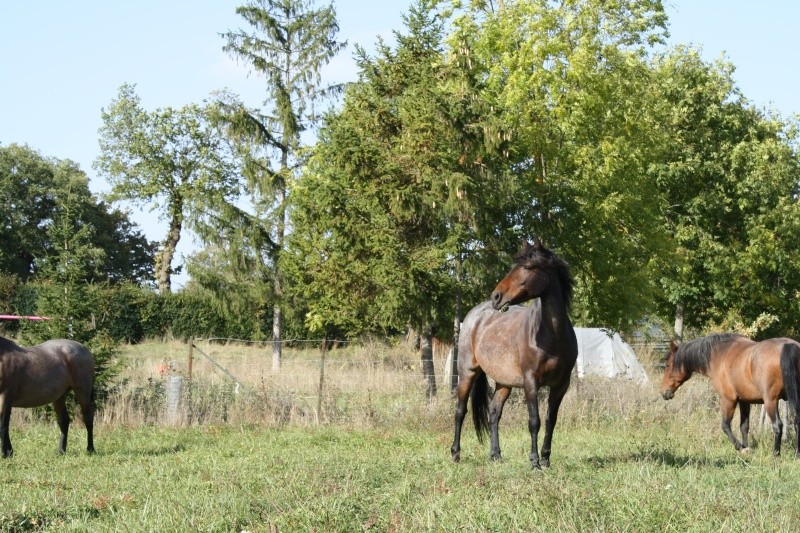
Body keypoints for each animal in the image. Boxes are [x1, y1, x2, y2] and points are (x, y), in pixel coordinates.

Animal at [450, 239, 576, 468]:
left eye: (528, 267)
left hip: (503, 383)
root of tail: (474, 315)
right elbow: (534, 421)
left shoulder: (561, 384)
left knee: (493, 413)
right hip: (467, 373)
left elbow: (550, 420)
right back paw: (455, 453)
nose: (496, 296)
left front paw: (546, 459)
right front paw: (534, 462)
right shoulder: (531, 381)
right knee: (460, 411)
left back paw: (496, 455)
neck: (552, 336)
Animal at [660, 332, 800, 458]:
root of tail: (789, 345)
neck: (719, 354)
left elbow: (725, 426)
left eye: (668, 366)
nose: (663, 392)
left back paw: (775, 454)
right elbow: (744, 426)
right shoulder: (744, 401)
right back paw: (797, 454)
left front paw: (741, 447)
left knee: (777, 425)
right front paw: (746, 447)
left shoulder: (728, 400)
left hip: (770, 401)